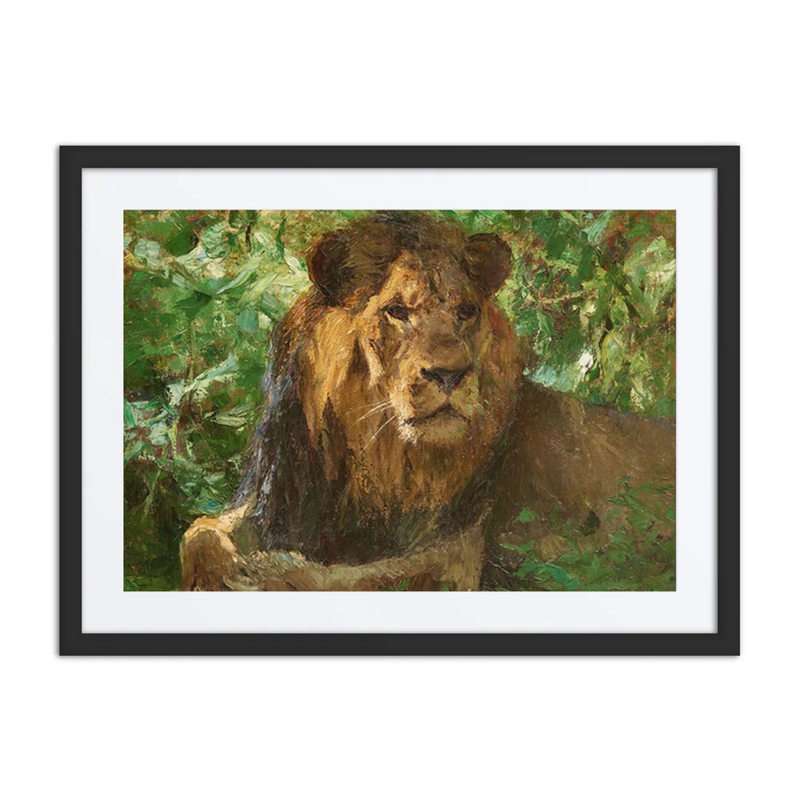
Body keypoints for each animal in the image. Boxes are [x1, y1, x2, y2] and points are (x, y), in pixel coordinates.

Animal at [180, 212, 675, 591]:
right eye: (397, 311)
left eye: (466, 312)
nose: (451, 374)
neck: (377, 466)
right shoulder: (276, 504)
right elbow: (199, 533)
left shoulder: (454, 553)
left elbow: (336, 579)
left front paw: (262, 573)